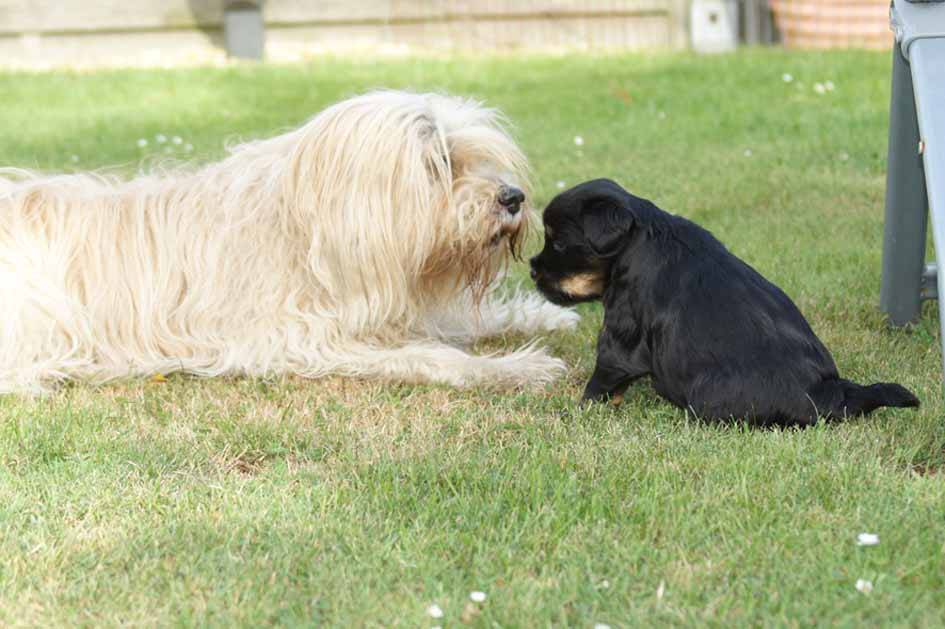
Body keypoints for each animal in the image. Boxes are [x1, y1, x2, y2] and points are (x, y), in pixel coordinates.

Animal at [0, 91, 576, 392]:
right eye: (438, 164)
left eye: (475, 157)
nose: (513, 197)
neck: (307, 233)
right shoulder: (301, 337)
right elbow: (434, 357)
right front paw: (514, 366)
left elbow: (460, 323)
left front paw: (542, 318)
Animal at [532, 177, 916, 426]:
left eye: (559, 243)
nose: (533, 269)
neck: (638, 242)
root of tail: (826, 391)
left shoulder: (620, 335)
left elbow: (602, 381)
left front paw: (578, 409)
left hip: (706, 396)